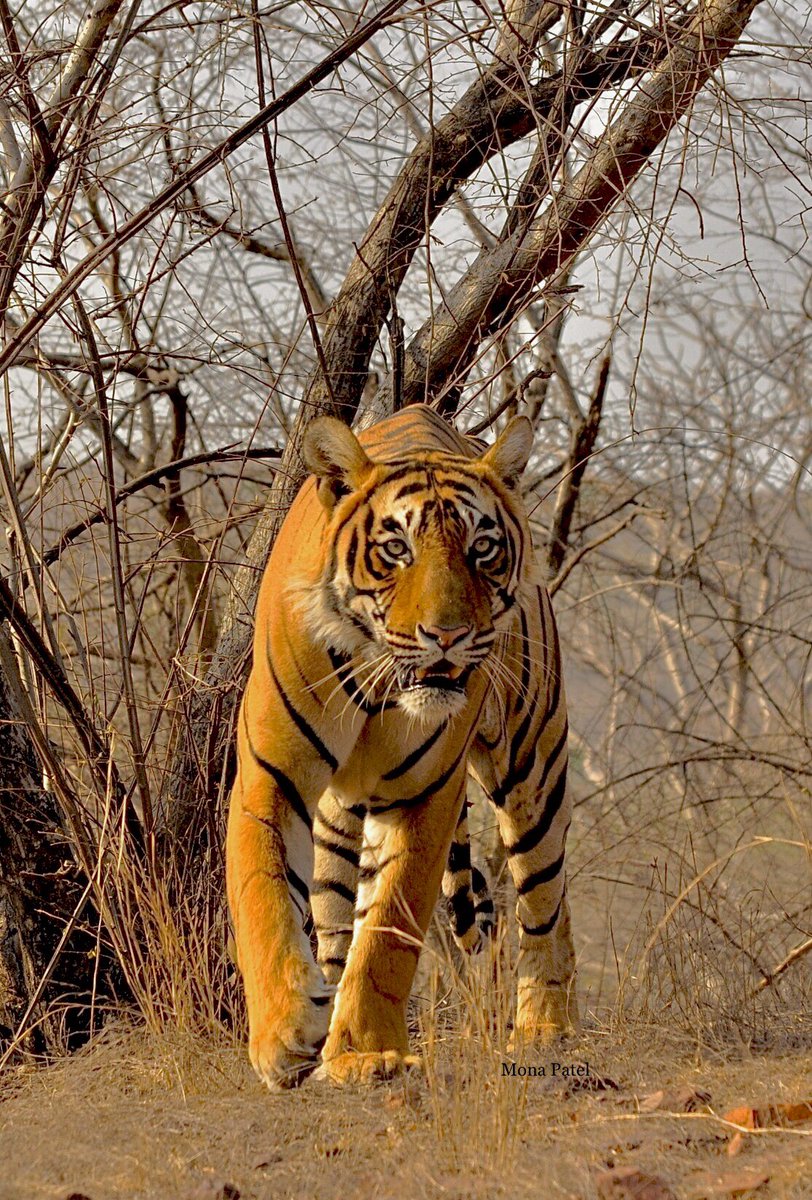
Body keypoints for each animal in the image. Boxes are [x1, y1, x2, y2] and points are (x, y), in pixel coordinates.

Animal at [223, 400, 575, 1089]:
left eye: (482, 548)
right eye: (396, 549)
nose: (448, 634)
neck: (377, 678)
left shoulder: (426, 796)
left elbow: (389, 927)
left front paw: (364, 1048)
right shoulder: (269, 777)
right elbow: (264, 899)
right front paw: (286, 1035)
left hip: (534, 759)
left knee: (546, 896)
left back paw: (547, 1030)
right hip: (337, 820)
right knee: (336, 916)